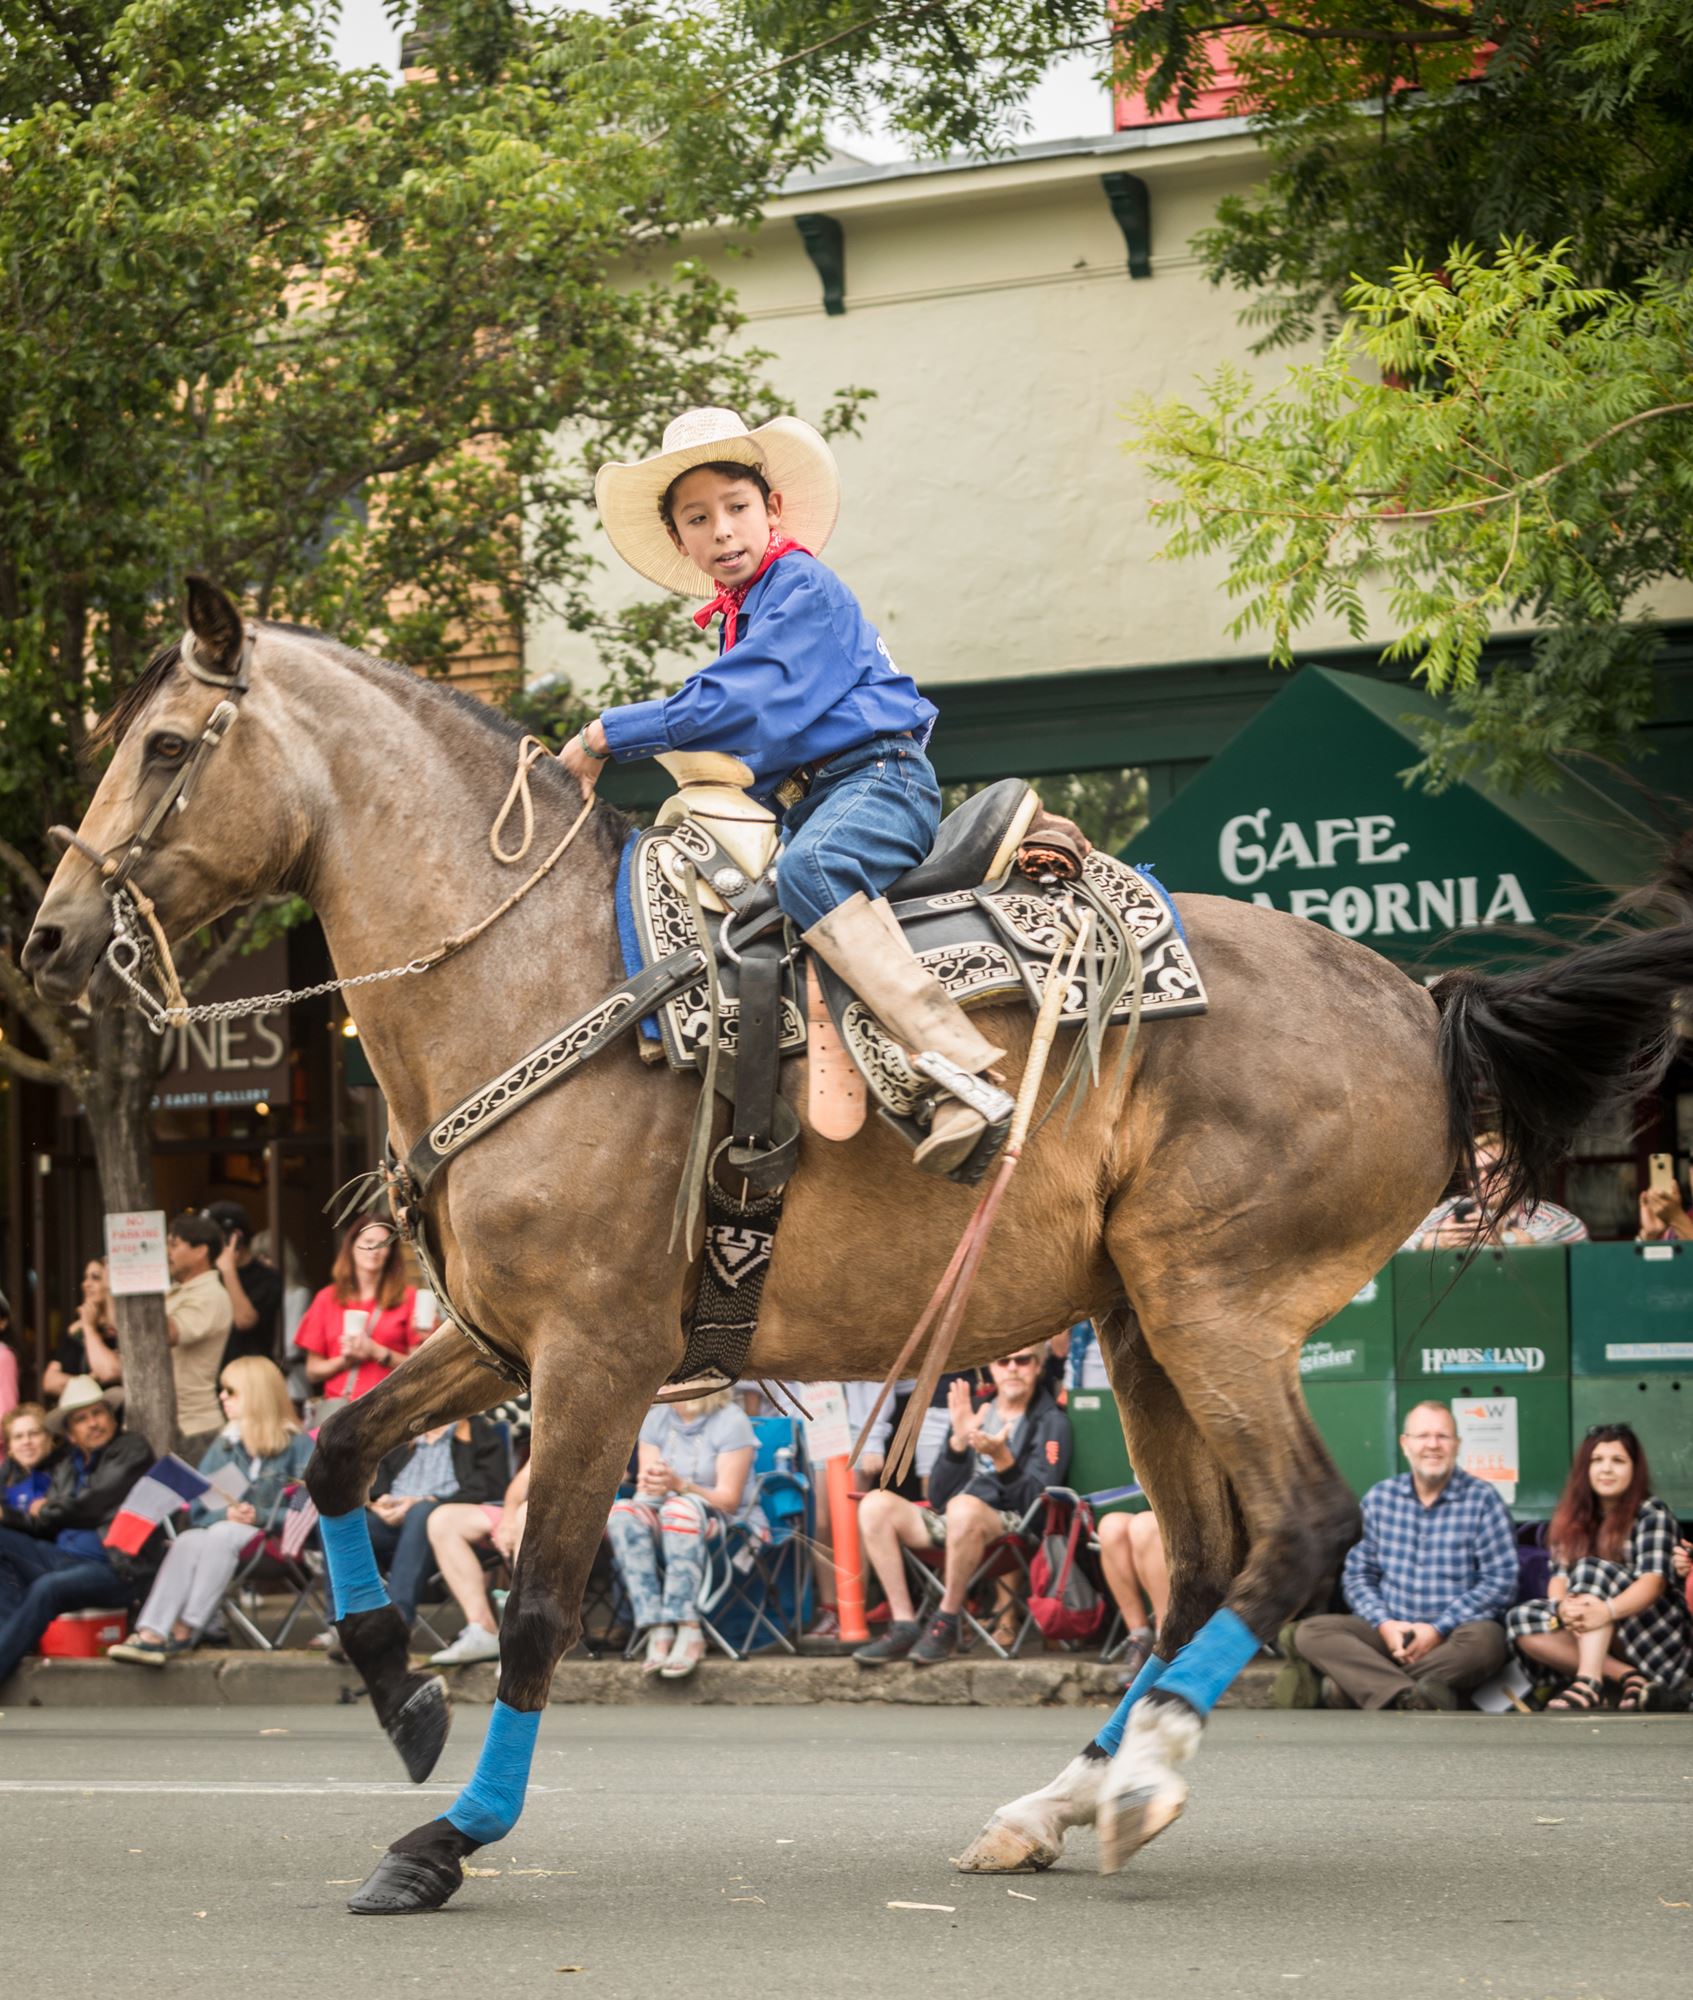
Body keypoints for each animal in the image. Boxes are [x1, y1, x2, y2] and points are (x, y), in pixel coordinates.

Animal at [23, 580, 1693, 1904]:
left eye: (165, 748)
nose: (46, 937)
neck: (530, 974)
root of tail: (1424, 1001)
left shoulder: (598, 1360)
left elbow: (546, 1603)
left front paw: (453, 1835)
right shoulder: (499, 1340)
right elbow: (335, 1456)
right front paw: (395, 1693)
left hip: (1213, 1301)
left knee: (1301, 1528)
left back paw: (1141, 1780)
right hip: (1146, 1325)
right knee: (1207, 1565)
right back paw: (1064, 1796)